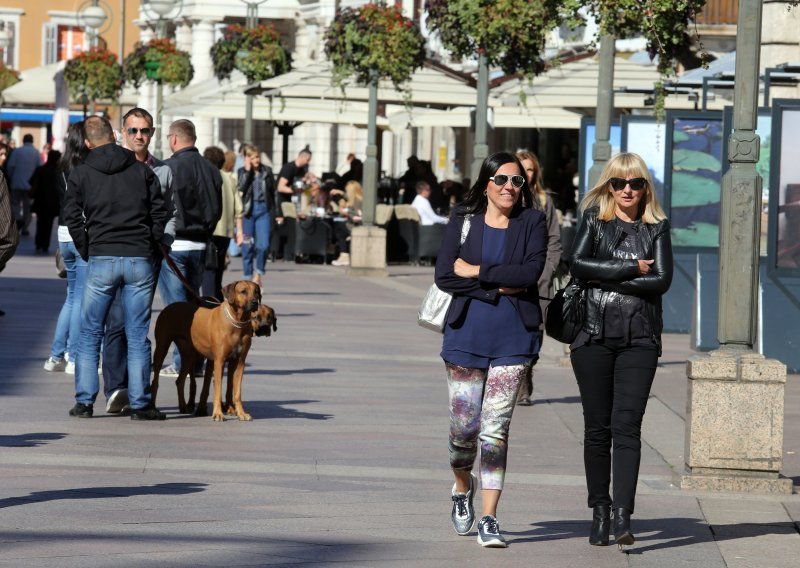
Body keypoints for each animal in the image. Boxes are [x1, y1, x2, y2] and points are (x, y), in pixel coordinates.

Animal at [152, 282, 260, 420]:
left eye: (256, 291)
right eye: (243, 291)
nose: (255, 302)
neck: (237, 322)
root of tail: (170, 306)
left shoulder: (240, 362)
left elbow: (237, 392)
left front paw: (241, 413)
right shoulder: (219, 360)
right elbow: (217, 389)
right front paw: (218, 413)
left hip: (189, 355)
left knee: (180, 380)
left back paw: (183, 406)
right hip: (162, 347)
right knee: (155, 380)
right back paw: (152, 406)